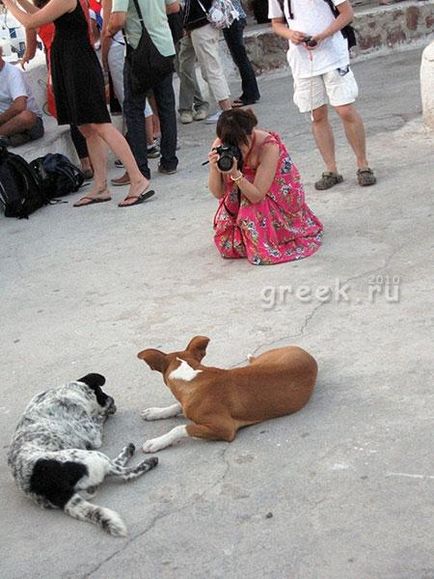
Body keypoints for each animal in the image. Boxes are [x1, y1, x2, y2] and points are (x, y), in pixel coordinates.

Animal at [7, 374, 158, 536]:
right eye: (101, 392)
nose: (112, 399)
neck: (68, 392)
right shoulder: (94, 434)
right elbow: (100, 416)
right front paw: (105, 410)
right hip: (91, 456)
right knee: (124, 472)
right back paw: (145, 459)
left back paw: (129, 450)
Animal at [136, 336, 316, 454]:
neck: (191, 376)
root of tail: (305, 353)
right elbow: (176, 406)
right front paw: (155, 412)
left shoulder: (223, 428)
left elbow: (180, 428)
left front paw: (157, 442)